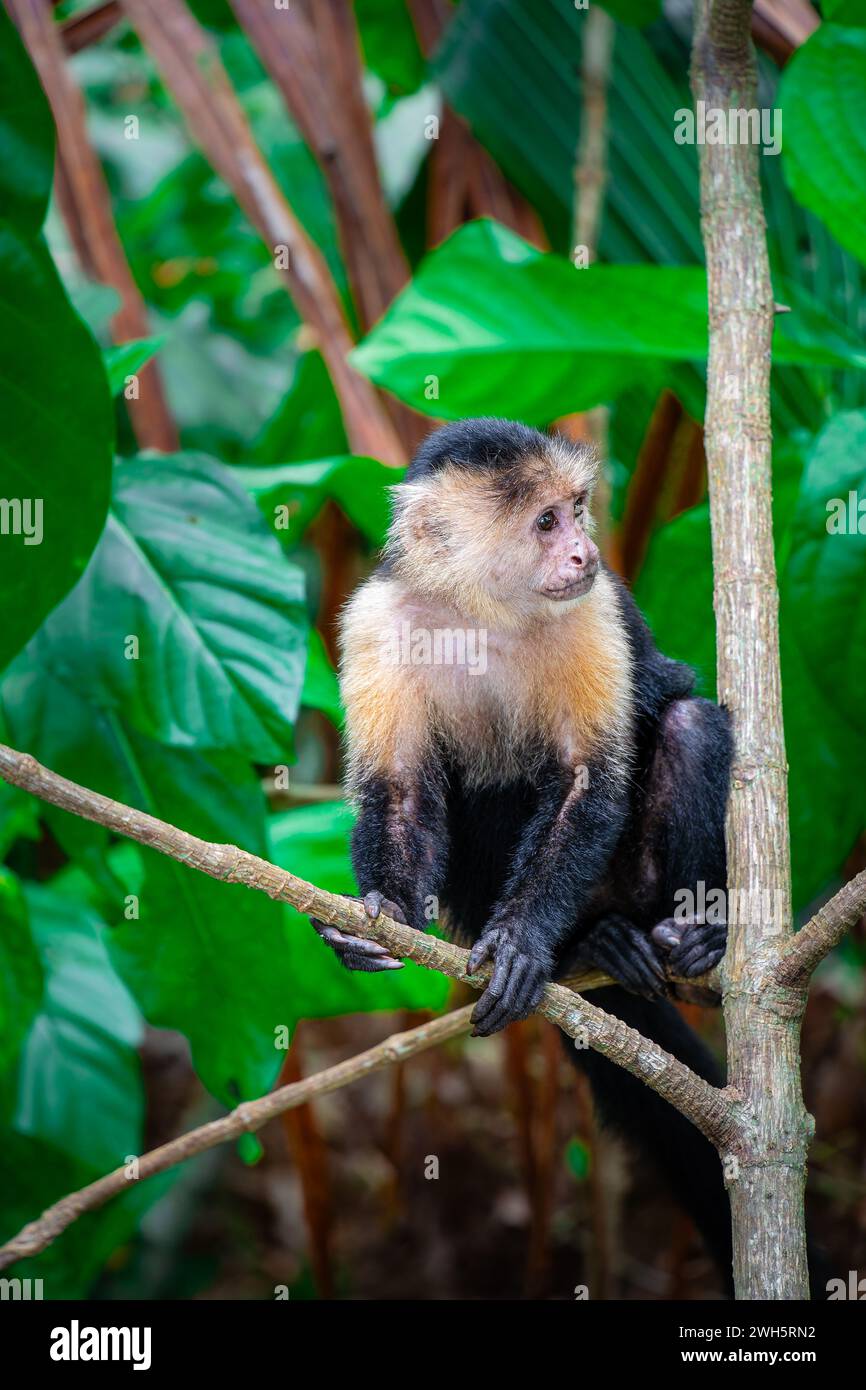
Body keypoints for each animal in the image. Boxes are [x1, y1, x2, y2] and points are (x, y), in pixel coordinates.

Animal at [309, 419, 745, 1289]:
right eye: (545, 522)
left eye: (576, 510)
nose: (583, 550)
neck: (483, 609)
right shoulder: (376, 621)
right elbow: (402, 790)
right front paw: (380, 916)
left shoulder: (595, 608)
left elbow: (587, 780)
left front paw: (520, 943)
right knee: (475, 792)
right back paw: (592, 946)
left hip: (639, 882)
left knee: (686, 725)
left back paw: (681, 936)